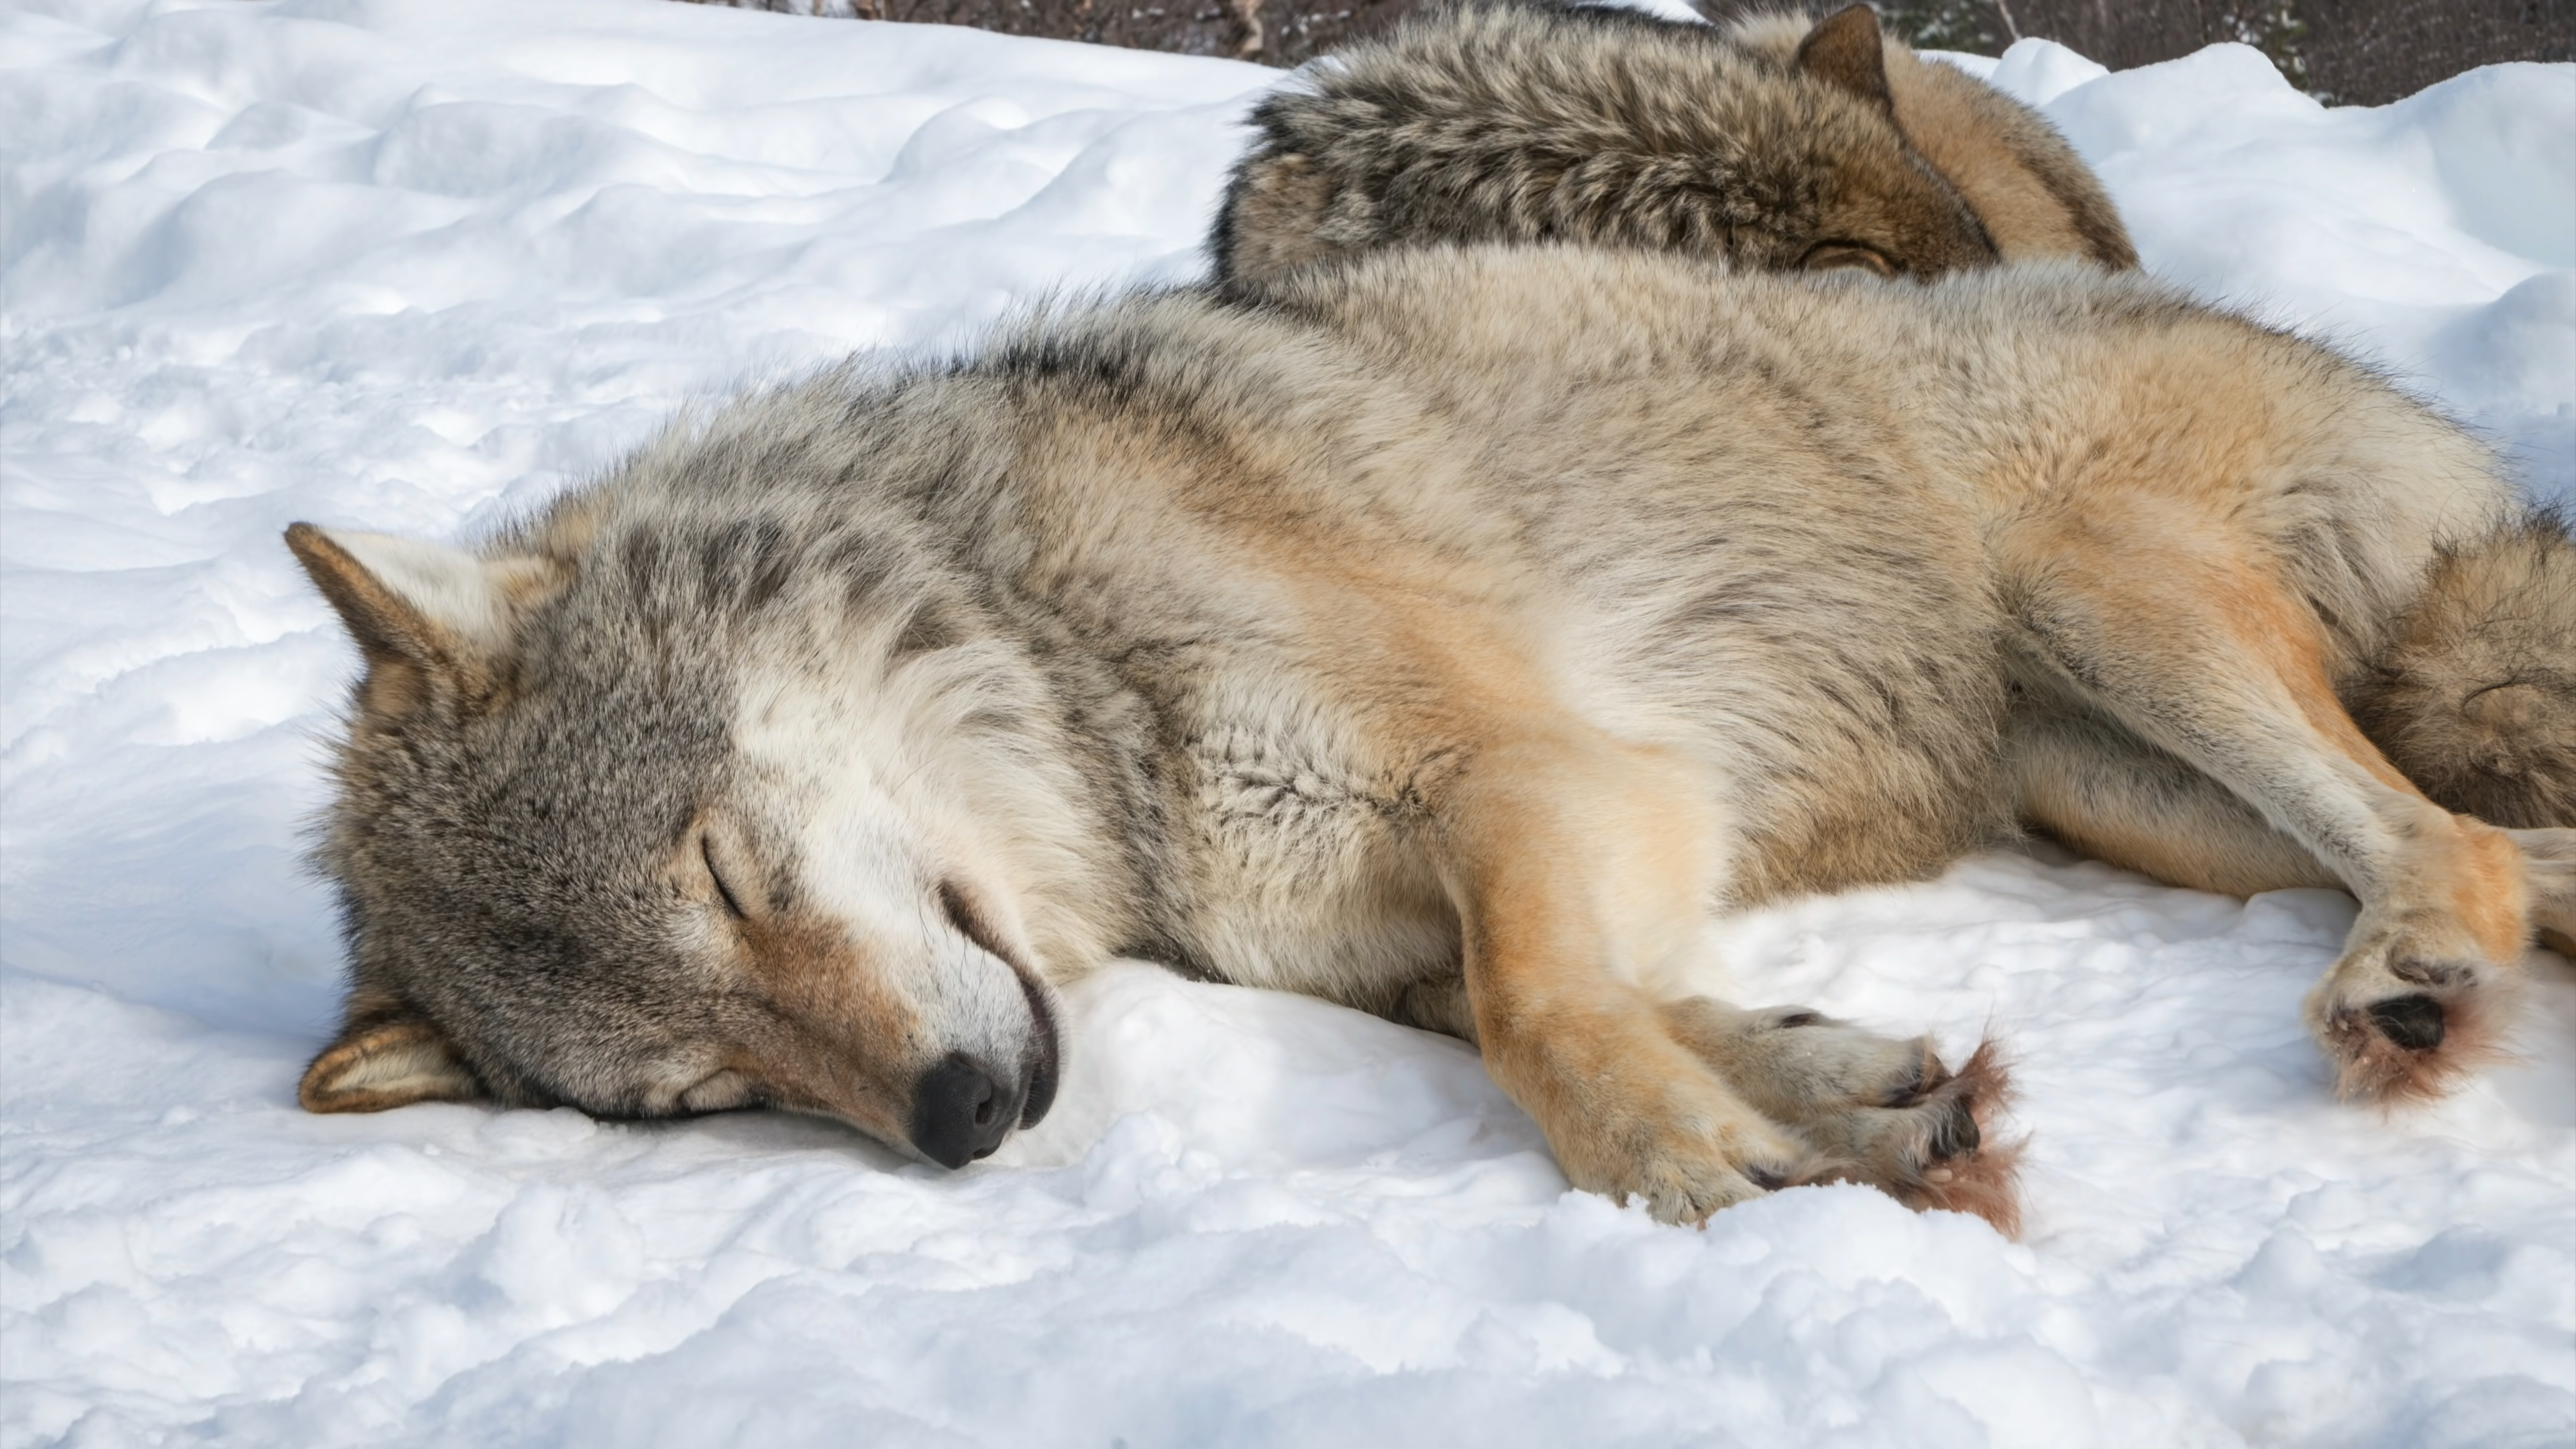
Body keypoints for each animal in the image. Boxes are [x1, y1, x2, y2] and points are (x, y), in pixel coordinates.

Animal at [287, 248, 2576, 1230]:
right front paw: (1854, 1113)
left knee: (2443, 846)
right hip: (2124, 799)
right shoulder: (1409, 924)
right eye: (698, 1096)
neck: (1065, 669)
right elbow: (1577, 1003)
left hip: (2112, 608)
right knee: (2510, 858)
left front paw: (1669, 1163)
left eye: (732, 874)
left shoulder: (1547, 783)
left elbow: (1538, 1012)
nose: (957, 1120)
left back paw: (2407, 981)